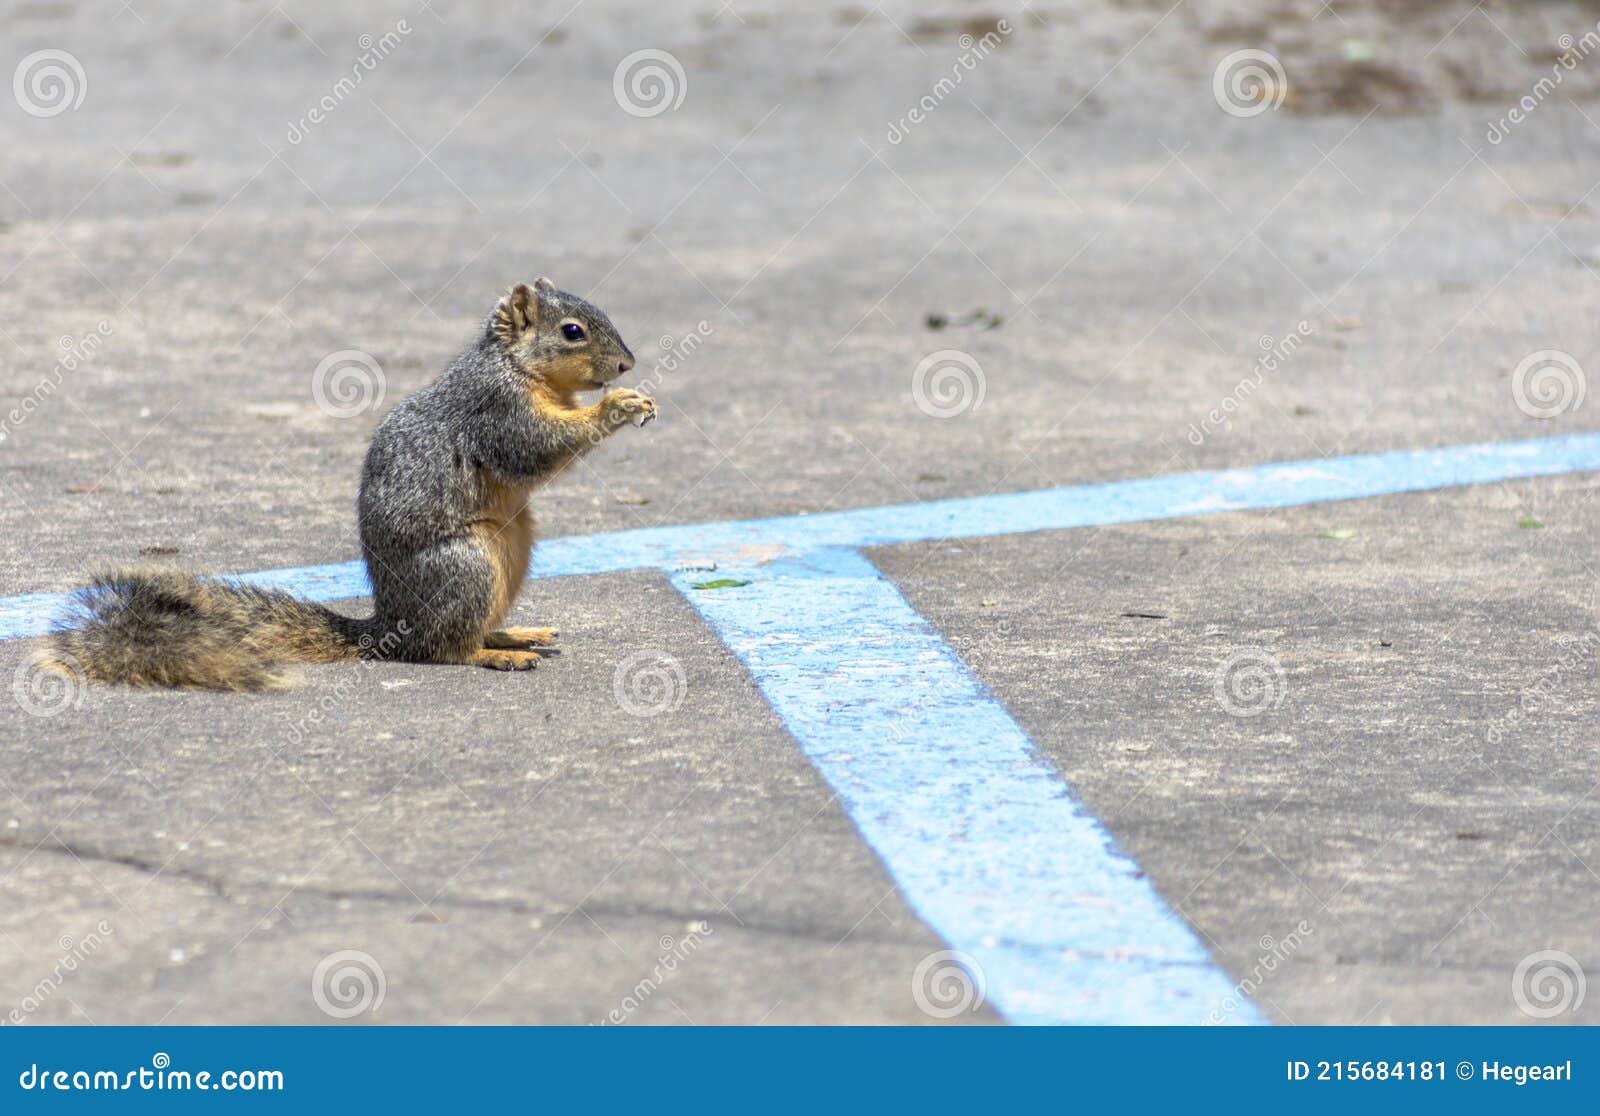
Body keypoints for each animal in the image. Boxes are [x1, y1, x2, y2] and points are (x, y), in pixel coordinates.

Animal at [40, 277, 655, 691]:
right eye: (572, 331)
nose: (626, 365)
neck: (517, 366)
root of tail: (386, 629)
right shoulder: (496, 410)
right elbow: (533, 449)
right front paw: (619, 406)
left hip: (513, 551)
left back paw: (513, 635)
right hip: (464, 567)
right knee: (441, 649)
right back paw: (494, 655)